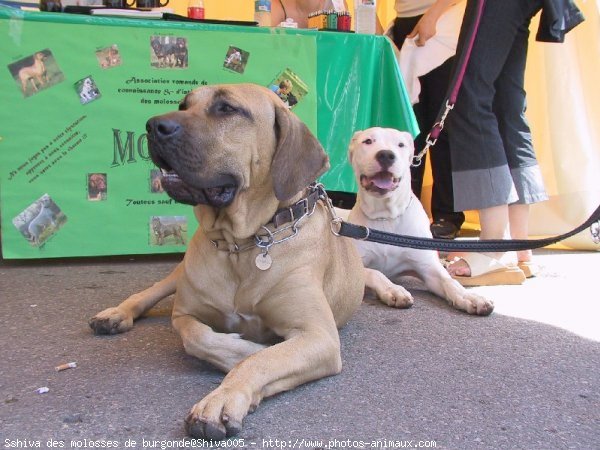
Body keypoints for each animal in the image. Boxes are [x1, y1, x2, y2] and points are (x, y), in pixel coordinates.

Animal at [86, 83, 364, 440]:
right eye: (184, 105)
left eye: (227, 109)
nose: (153, 125)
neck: (242, 244)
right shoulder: (185, 313)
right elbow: (197, 336)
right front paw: (245, 349)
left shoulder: (319, 336)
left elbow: (260, 361)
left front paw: (222, 398)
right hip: (178, 274)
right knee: (149, 292)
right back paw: (116, 314)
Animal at [344, 127, 494, 316]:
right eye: (368, 141)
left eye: (401, 144)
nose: (386, 155)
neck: (386, 216)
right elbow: (374, 273)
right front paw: (394, 290)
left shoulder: (428, 267)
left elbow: (449, 281)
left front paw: (470, 297)